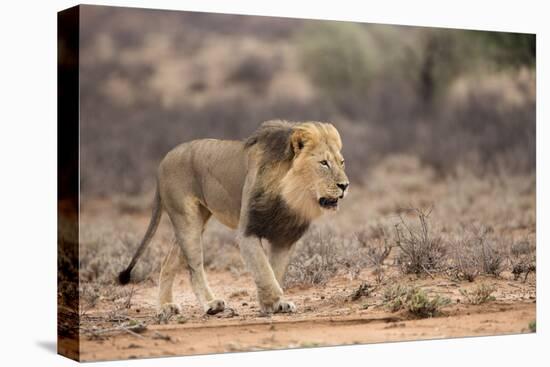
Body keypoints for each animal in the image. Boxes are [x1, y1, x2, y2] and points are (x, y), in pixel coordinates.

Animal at [118, 121, 350, 316]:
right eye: (323, 163)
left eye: (341, 162)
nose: (345, 185)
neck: (291, 196)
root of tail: (163, 161)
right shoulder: (247, 232)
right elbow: (263, 269)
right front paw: (273, 301)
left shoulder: (284, 237)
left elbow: (274, 270)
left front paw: (274, 304)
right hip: (186, 218)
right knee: (194, 267)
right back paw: (211, 304)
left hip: (197, 218)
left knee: (168, 262)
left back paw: (165, 306)